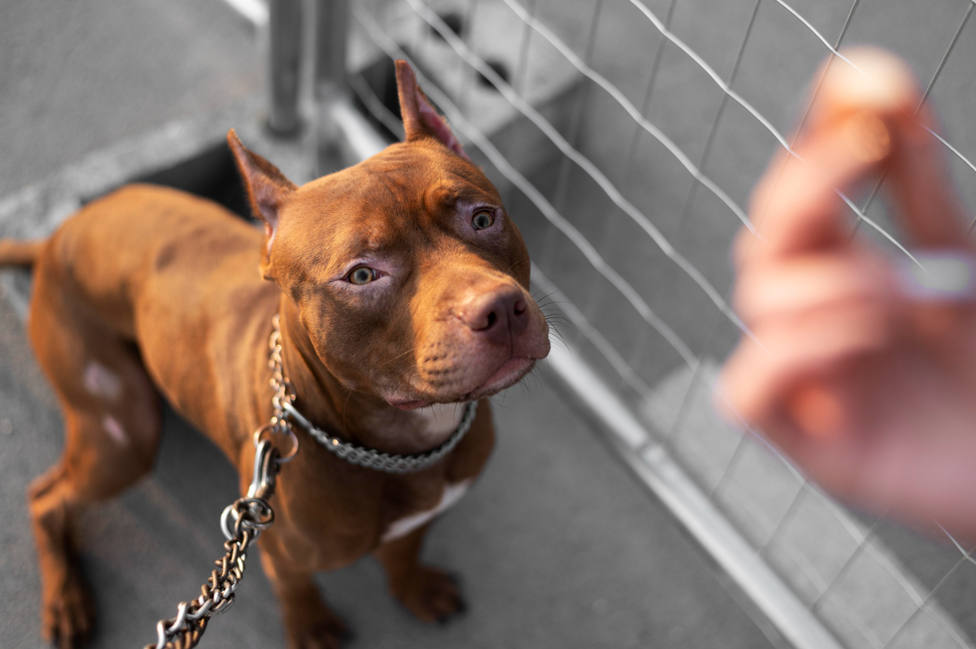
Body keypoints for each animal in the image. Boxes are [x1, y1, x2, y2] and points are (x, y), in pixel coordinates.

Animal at [0, 59, 548, 644]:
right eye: (362, 274)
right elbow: (296, 589)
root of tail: (54, 238)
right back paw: (66, 597)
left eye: (483, 218)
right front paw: (311, 627)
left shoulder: (420, 519)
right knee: (45, 498)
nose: (500, 309)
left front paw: (414, 589)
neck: (406, 444)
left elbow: (403, 552)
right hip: (123, 432)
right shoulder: (280, 553)